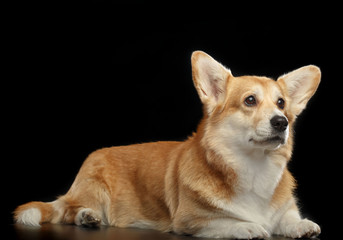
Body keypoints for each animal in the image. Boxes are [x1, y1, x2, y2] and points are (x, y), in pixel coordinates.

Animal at [14, 50, 322, 238]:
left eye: (281, 103)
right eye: (250, 100)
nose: (281, 122)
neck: (253, 166)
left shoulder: (284, 210)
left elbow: (288, 218)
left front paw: (302, 225)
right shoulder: (190, 220)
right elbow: (226, 221)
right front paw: (248, 227)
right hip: (93, 189)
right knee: (68, 210)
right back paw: (87, 216)